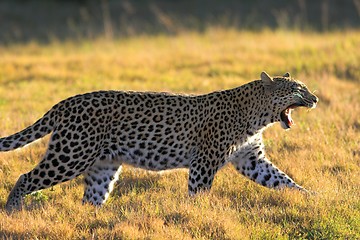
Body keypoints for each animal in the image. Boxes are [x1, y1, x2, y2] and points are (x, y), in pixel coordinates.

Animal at [2, 71, 318, 210]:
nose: (315, 98)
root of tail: (64, 103)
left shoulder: (251, 158)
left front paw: (311, 197)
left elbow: (282, 180)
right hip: (71, 155)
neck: (256, 116)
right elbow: (198, 192)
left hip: (103, 165)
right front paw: (199, 215)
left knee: (92, 196)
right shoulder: (204, 161)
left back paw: (91, 218)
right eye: (297, 89)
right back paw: (12, 209)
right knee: (25, 177)